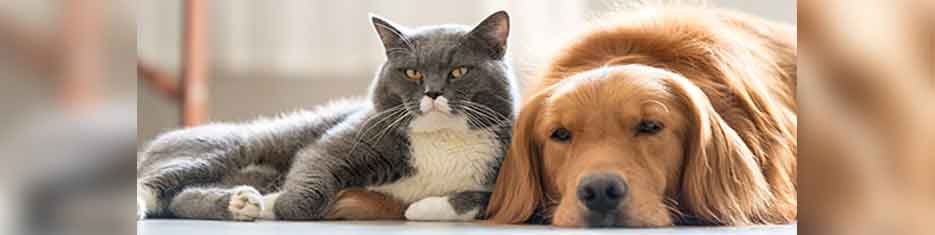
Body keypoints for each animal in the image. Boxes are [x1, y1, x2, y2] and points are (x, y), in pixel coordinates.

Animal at [137, 11, 520, 222]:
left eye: (458, 71)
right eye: (412, 73)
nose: (433, 92)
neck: (442, 138)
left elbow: (486, 200)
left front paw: (422, 208)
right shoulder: (346, 140)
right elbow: (314, 166)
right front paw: (279, 204)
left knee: (180, 198)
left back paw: (241, 202)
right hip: (228, 147)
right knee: (159, 182)